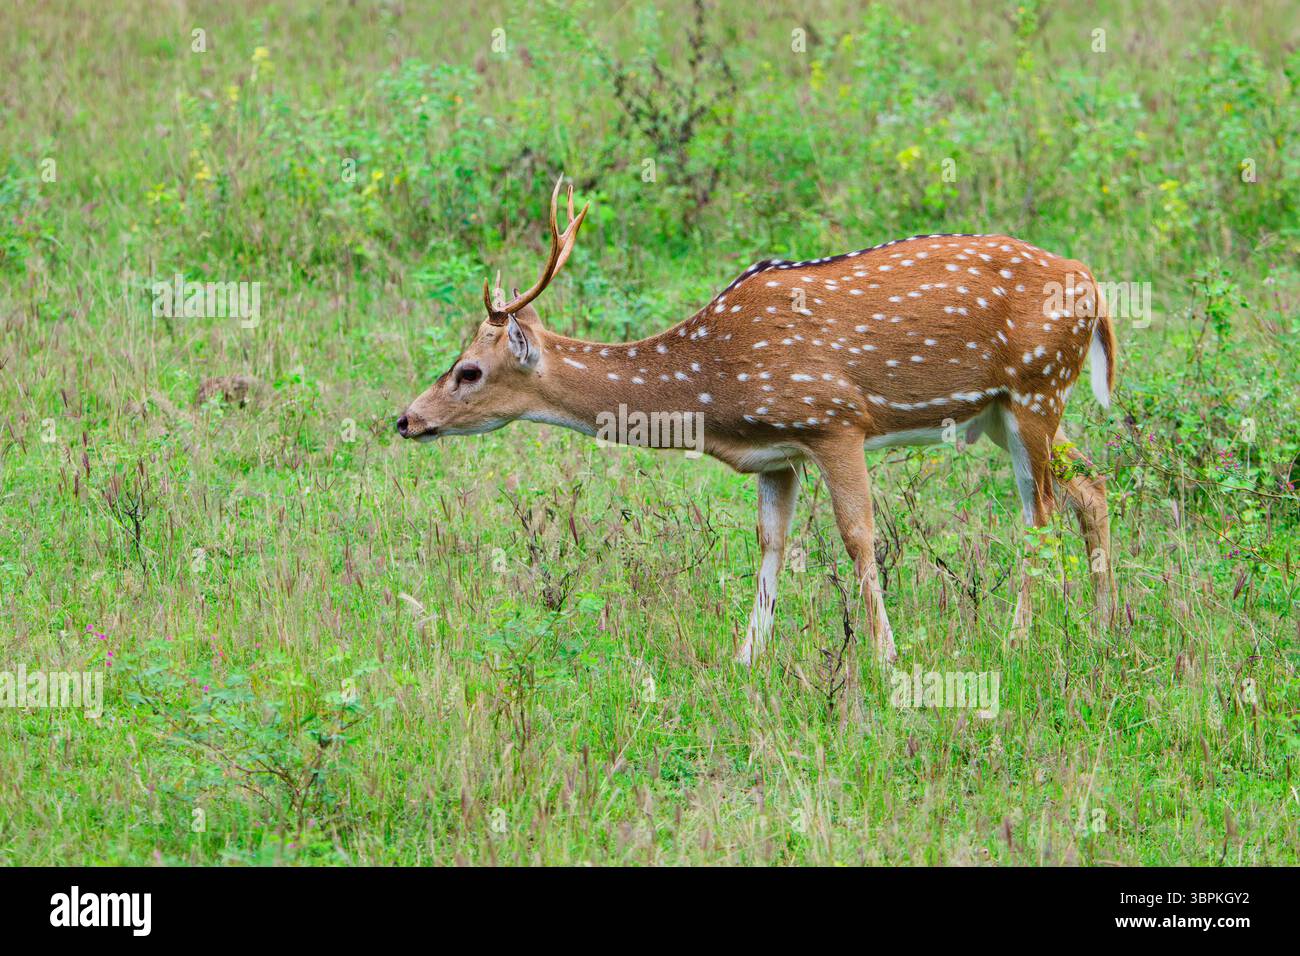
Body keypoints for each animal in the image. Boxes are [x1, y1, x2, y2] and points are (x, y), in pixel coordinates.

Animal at [397, 177, 1119, 665]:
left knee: (1038, 511)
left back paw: (1021, 636)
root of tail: (1093, 283)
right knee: (1091, 482)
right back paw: (1109, 623)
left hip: (1035, 387)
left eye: (468, 371)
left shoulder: (835, 419)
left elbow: (858, 537)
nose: (406, 420)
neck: (717, 389)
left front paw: (886, 657)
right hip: (1007, 408)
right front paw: (748, 658)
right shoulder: (778, 455)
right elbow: (770, 542)